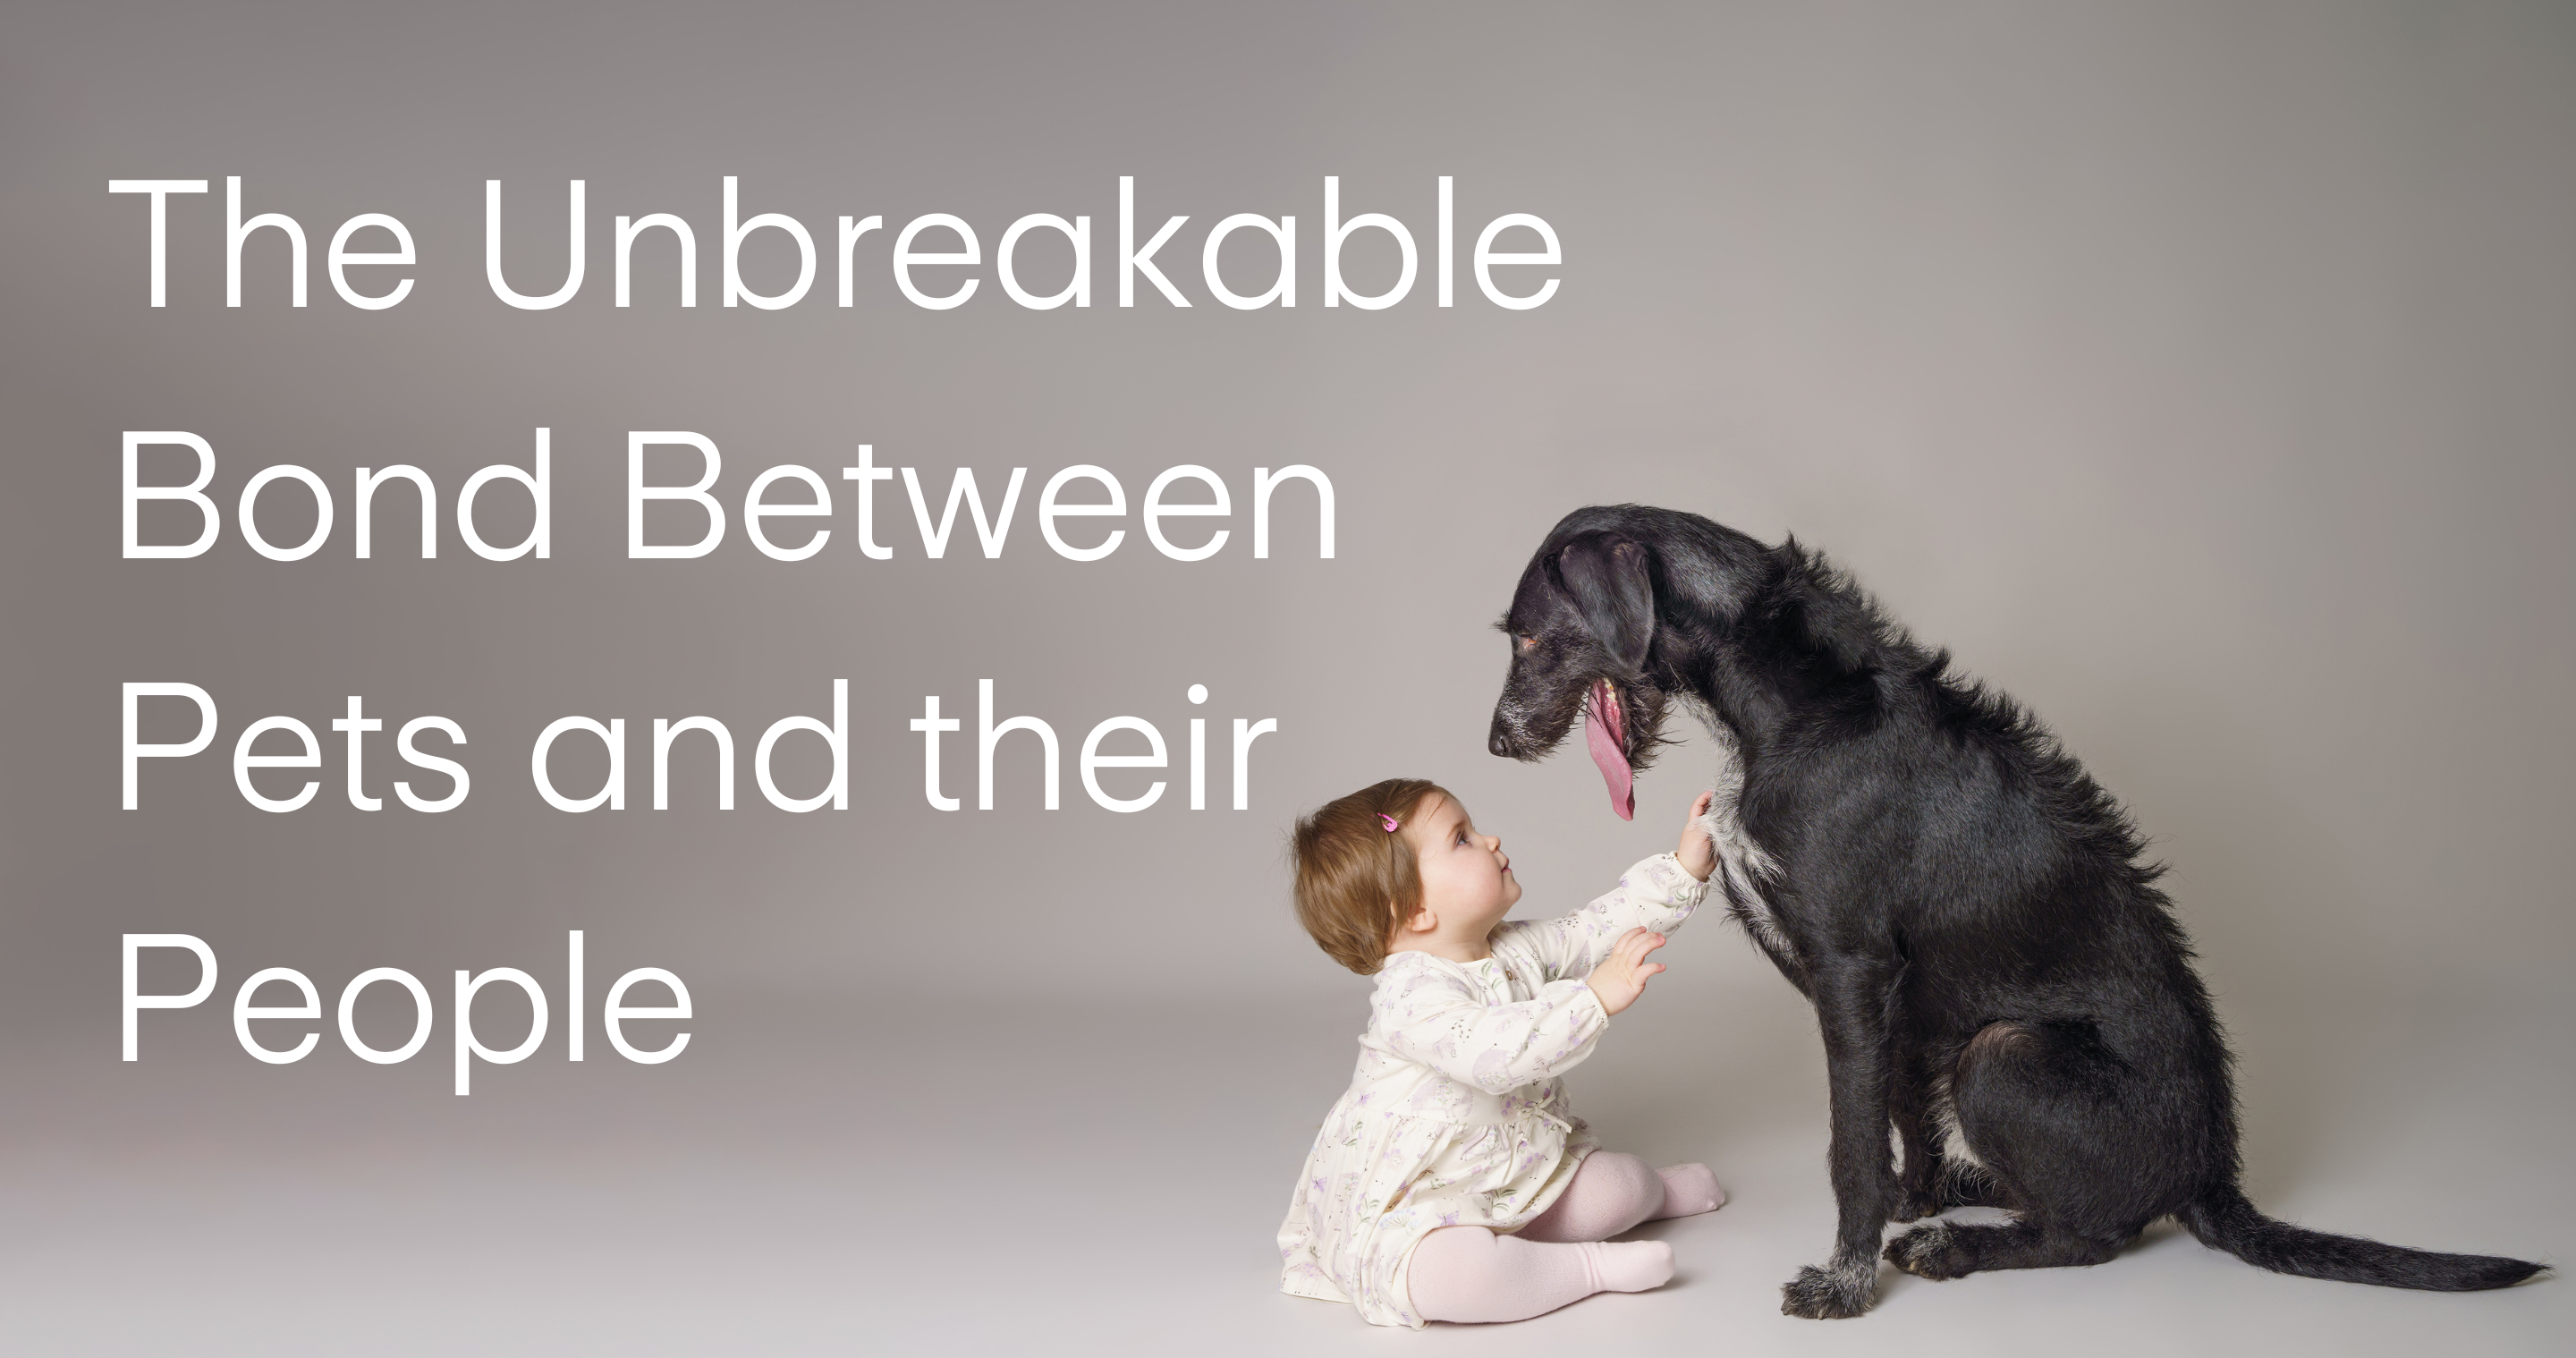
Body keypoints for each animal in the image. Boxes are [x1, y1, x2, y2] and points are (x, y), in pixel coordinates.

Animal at [1494, 507, 2534, 1319]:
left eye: (1531, 638)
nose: (1496, 742)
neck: (1783, 696)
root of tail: (2210, 1173)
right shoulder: (1895, 1002)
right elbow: (1901, 1112)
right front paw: (1916, 1199)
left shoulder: (1850, 967)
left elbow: (1853, 1144)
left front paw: (1847, 1278)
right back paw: (1976, 1192)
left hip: (2003, 1054)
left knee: (2096, 1234)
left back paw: (1967, 1246)